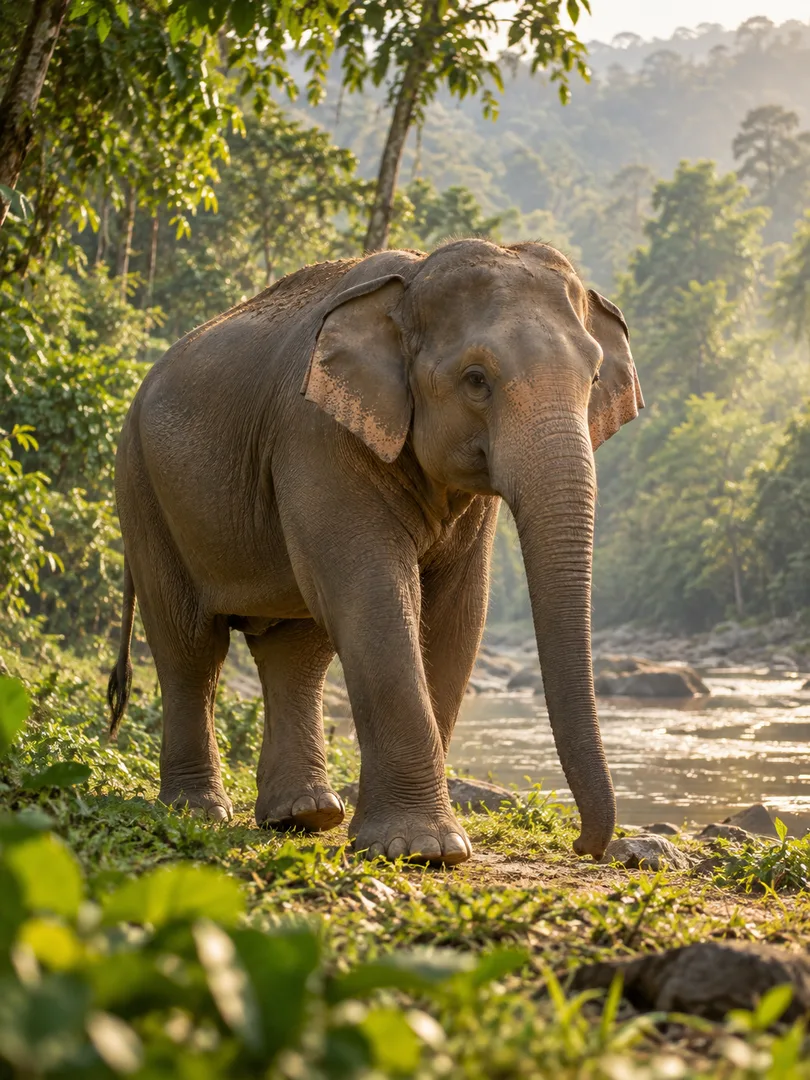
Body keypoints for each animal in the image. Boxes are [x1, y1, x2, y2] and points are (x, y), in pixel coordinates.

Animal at [107, 238, 643, 865]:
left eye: (594, 377)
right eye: (476, 379)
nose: (585, 844)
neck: (411, 280)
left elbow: (458, 614)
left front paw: (411, 842)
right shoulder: (316, 433)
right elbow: (376, 594)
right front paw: (420, 848)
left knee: (294, 650)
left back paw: (304, 816)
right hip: (141, 486)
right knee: (191, 645)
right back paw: (198, 811)